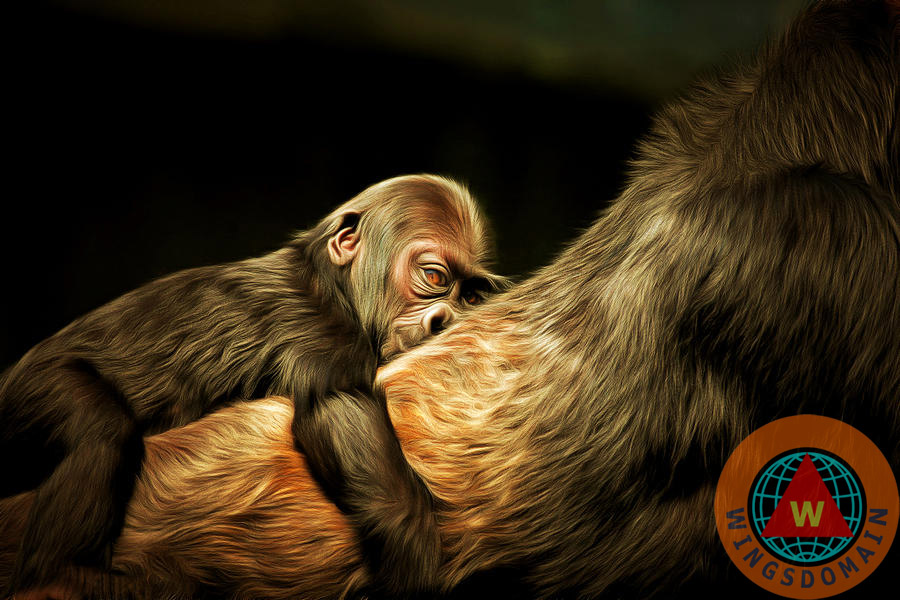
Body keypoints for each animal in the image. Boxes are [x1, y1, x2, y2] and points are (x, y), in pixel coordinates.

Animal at [0, 173, 504, 598]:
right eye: (434, 277)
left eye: (470, 295)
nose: (445, 319)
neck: (334, 284)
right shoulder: (320, 329)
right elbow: (340, 411)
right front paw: (413, 551)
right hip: (33, 387)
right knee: (101, 436)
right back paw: (59, 573)